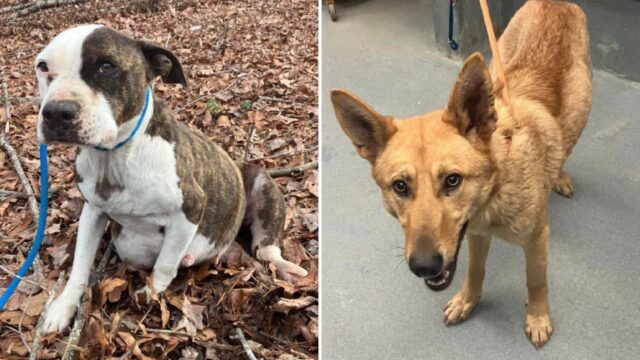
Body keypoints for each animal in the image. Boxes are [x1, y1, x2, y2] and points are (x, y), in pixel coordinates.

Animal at [37, 25, 308, 334]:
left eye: (107, 66)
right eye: (43, 67)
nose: (56, 112)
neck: (116, 157)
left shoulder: (189, 212)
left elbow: (165, 264)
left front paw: (149, 296)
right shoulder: (92, 211)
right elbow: (80, 265)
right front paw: (63, 307)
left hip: (262, 185)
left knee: (267, 252)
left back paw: (289, 270)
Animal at [332, 0, 592, 348]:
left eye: (452, 180)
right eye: (400, 186)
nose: (423, 267)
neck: (495, 190)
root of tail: (556, 3)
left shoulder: (536, 240)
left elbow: (536, 281)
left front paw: (538, 317)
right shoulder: (475, 235)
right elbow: (474, 271)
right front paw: (468, 301)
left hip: (580, 109)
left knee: (566, 143)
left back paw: (559, 174)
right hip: (496, 66)